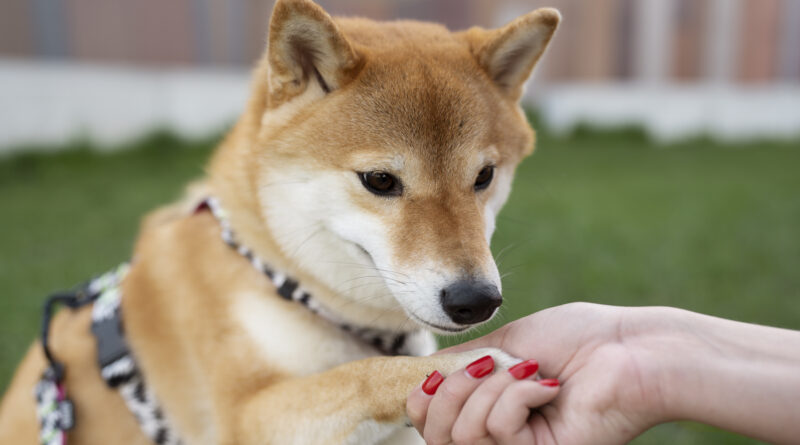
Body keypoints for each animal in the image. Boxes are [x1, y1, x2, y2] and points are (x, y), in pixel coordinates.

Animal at [0, 1, 560, 442]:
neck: (285, 283)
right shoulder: (245, 415)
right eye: (380, 180)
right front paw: (463, 367)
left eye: (484, 176)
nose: (475, 300)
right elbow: (359, 374)